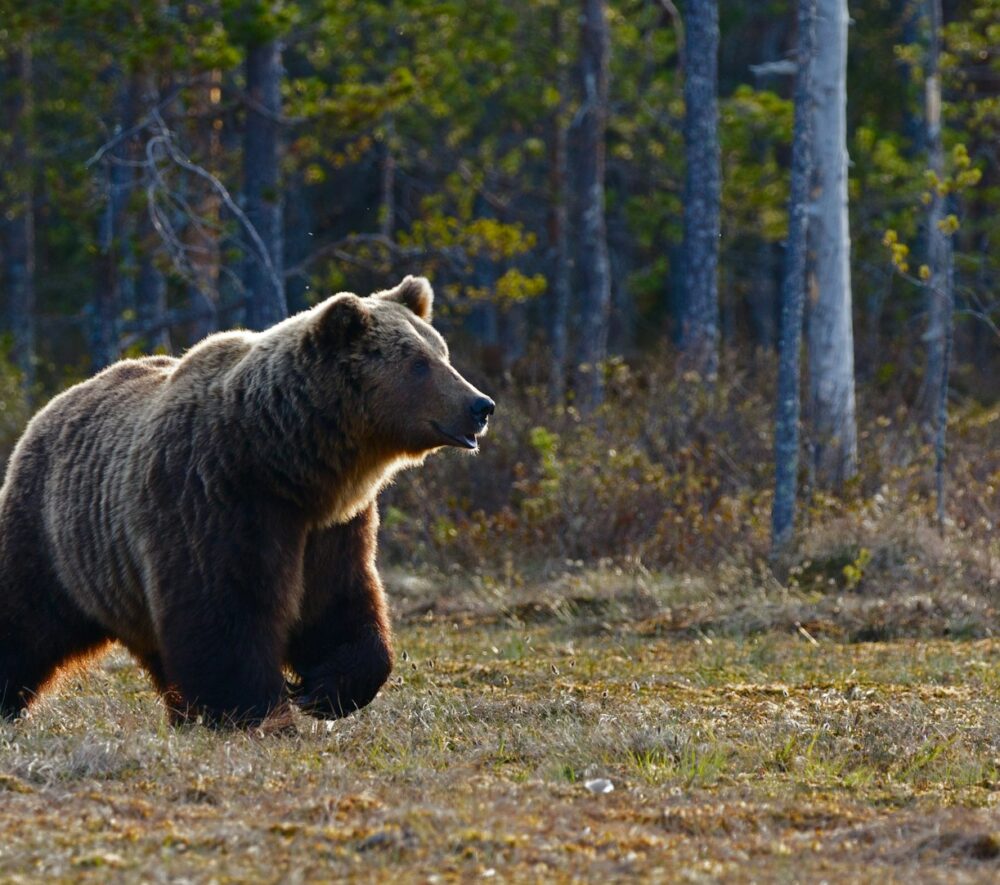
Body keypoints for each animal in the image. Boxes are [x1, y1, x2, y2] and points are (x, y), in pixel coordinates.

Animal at [0, 276, 493, 728]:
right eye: (418, 364)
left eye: (442, 353)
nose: (481, 405)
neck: (285, 461)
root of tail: (50, 407)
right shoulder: (216, 497)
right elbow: (225, 611)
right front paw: (256, 709)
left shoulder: (331, 526)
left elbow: (340, 602)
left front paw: (324, 689)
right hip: (52, 537)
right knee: (24, 617)